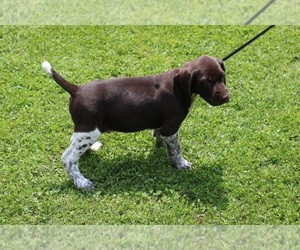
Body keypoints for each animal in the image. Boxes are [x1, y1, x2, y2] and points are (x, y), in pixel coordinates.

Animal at [41, 55, 230, 191]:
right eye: (206, 82)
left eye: (222, 77)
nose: (227, 97)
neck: (179, 89)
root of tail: (77, 90)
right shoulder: (171, 128)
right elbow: (176, 149)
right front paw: (180, 164)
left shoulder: (163, 127)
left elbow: (161, 138)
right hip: (90, 130)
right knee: (68, 158)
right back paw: (82, 183)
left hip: (85, 131)